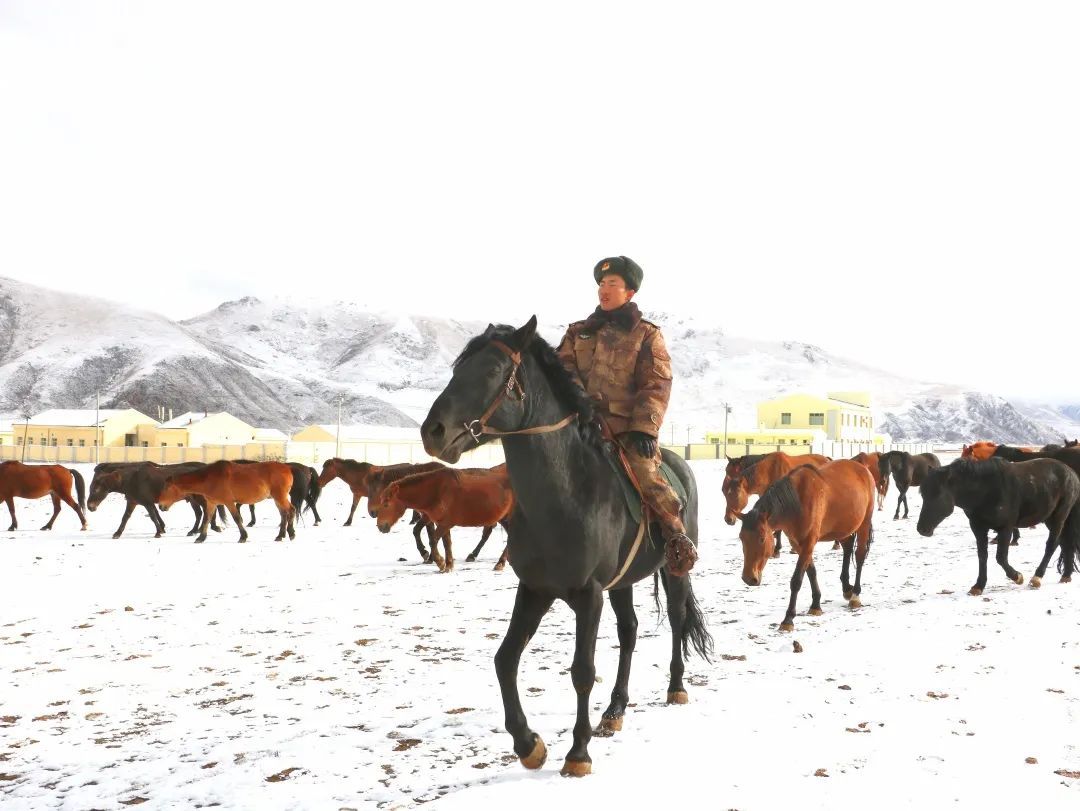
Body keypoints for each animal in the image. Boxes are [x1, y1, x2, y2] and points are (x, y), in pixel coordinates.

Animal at [158, 460, 295, 543]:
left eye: (166, 487)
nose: (160, 506)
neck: (209, 479)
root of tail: (287, 468)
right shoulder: (211, 503)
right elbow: (207, 519)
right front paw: (201, 537)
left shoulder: (229, 502)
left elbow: (237, 518)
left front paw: (243, 537)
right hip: (277, 499)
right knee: (284, 514)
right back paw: (281, 535)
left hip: (280, 497)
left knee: (291, 510)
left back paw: (291, 533)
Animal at [375, 464, 514, 572]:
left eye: (386, 504)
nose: (380, 526)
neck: (437, 491)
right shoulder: (441, 523)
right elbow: (446, 543)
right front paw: (448, 565)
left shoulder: (445, 523)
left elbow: (433, 540)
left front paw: (440, 562)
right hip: (503, 518)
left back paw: (500, 563)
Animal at [419, 317, 712, 777]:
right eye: (457, 368)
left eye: (492, 370)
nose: (433, 431)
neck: (565, 494)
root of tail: (677, 463)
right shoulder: (535, 589)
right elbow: (505, 659)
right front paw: (529, 745)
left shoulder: (588, 594)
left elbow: (582, 671)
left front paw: (578, 753)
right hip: (622, 583)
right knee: (629, 631)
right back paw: (614, 711)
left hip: (674, 569)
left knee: (678, 619)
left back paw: (676, 687)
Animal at [735, 460, 875, 631]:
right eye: (741, 538)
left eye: (761, 539)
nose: (748, 578)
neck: (797, 503)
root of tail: (863, 469)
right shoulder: (798, 544)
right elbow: (811, 572)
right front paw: (816, 605)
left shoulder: (809, 542)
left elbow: (796, 580)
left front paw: (788, 619)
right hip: (842, 528)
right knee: (848, 548)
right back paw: (847, 588)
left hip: (864, 523)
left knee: (860, 555)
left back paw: (855, 595)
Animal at [917, 458, 1080, 595]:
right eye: (923, 495)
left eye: (937, 494)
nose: (921, 529)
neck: (986, 490)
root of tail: (1072, 473)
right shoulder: (978, 528)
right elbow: (982, 556)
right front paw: (978, 586)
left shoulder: (1006, 528)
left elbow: (1001, 557)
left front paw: (1017, 577)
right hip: (1050, 519)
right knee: (1065, 543)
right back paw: (1066, 575)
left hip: (1059, 517)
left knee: (1052, 544)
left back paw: (1037, 578)